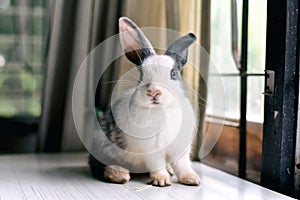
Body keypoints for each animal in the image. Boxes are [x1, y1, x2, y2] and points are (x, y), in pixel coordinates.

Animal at [89, 17, 202, 188]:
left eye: (173, 73)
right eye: (142, 74)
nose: (154, 92)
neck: (160, 111)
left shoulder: (180, 148)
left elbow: (183, 165)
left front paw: (192, 179)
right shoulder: (151, 150)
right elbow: (157, 164)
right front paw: (161, 180)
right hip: (103, 146)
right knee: (99, 166)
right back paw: (119, 174)